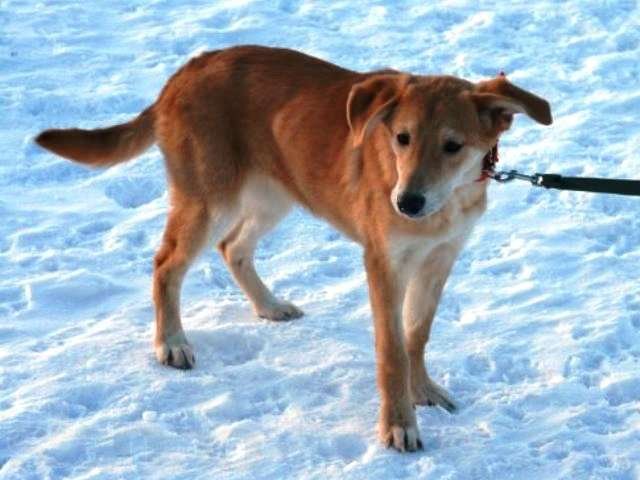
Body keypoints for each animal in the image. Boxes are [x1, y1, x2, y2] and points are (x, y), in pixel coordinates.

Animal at [36, 44, 552, 450]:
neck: (446, 204)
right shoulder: (384, 263)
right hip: (209, 198)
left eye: (453, 146)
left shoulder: (440, 260)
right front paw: (399, 425)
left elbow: (416, 336)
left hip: (274, 194)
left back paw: (268, 306)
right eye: (401, 138)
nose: (406, 203)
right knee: (166, 263)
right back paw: (172, 344)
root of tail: (185, 71)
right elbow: (391, 349)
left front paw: (423, 390)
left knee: (232, 247)